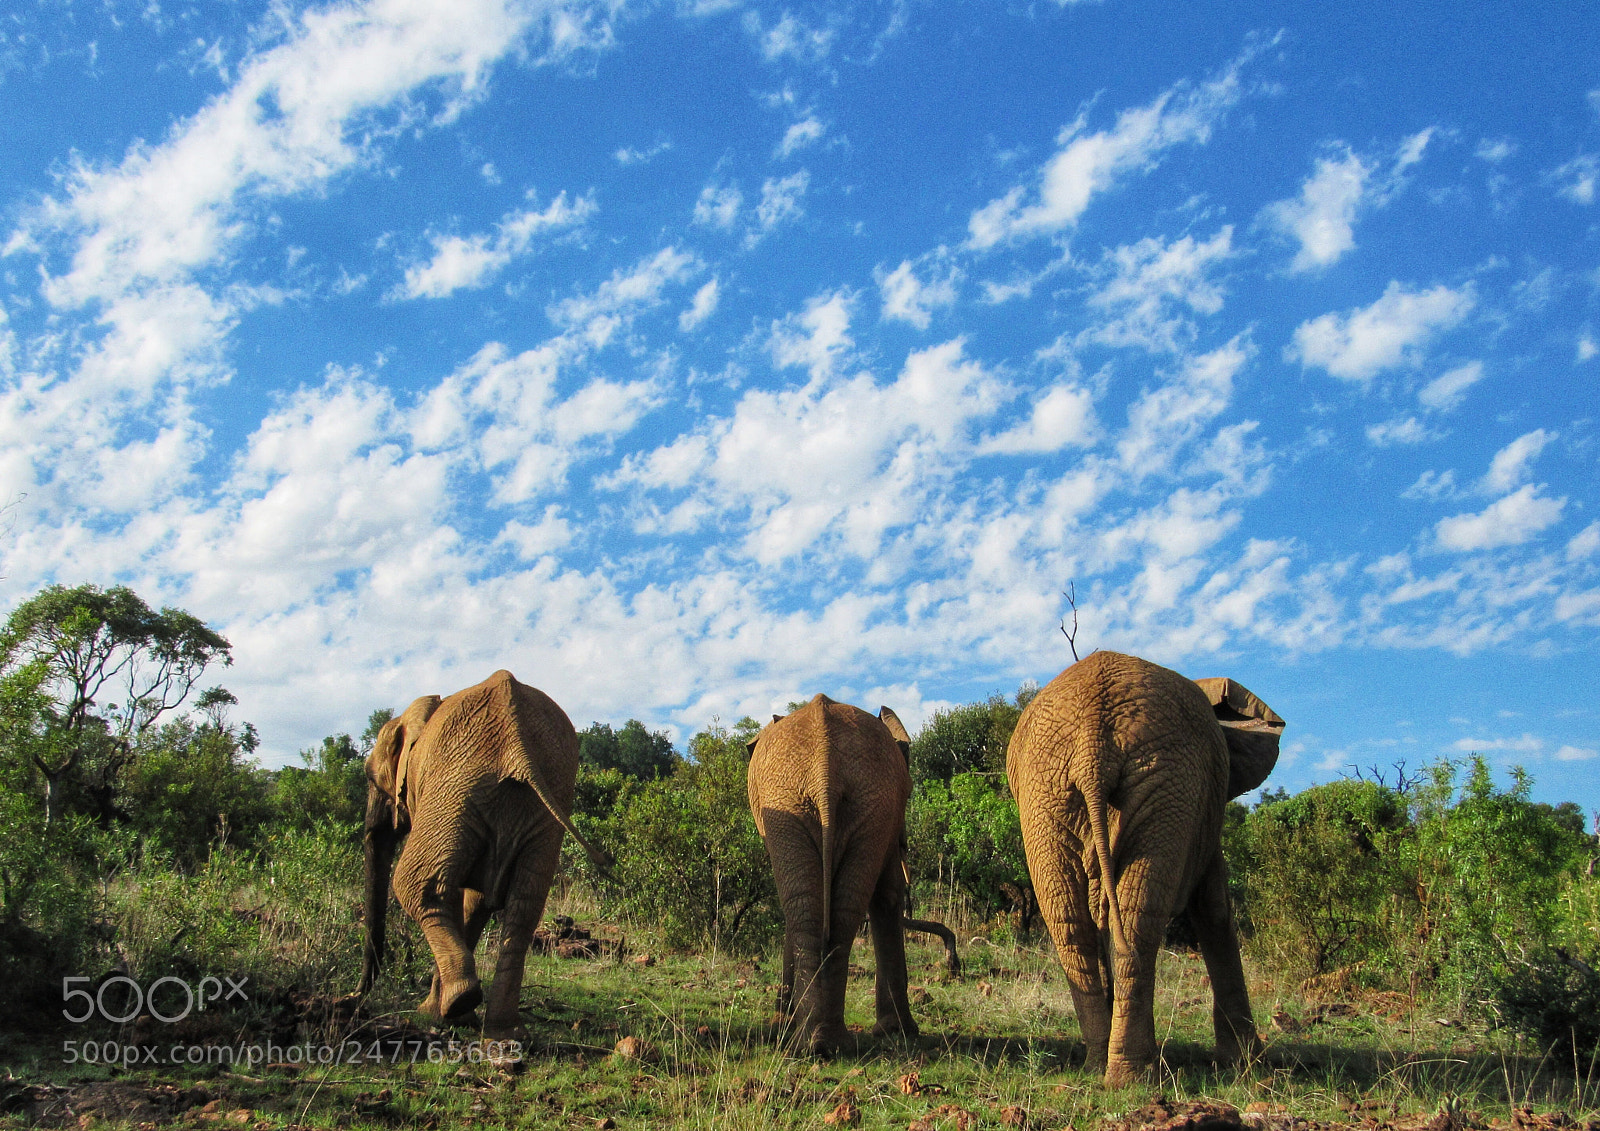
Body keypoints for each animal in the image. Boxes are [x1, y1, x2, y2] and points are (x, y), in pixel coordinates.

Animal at [356, 670, 612, 1039]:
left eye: (371, 778)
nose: (358, 997)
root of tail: (516, 739)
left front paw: (438, 1014)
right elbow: (476, 902)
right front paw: (457, 1017)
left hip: (458, 787)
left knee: (416, 883)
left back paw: (462, 1001)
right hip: (540, 802)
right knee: (525, 905)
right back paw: (503, 1030)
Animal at [746, 695, 920, 1054]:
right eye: (910, 792)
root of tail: (823, 767)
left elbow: (885, 897)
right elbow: (887, 897)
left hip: (857, 801)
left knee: (817, 909)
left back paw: (818, 1044)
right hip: (803, 800)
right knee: (821, 910)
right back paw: (820, 1043)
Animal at [1005, 651, 1284, 1087]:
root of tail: (1093, 743)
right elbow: (1214, 910)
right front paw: (1246, 1062)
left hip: (1050, 791)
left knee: (1071, 921)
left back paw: (1100, 1067)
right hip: (1167, 782)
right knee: (1138, 917)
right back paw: (1136, 1076)